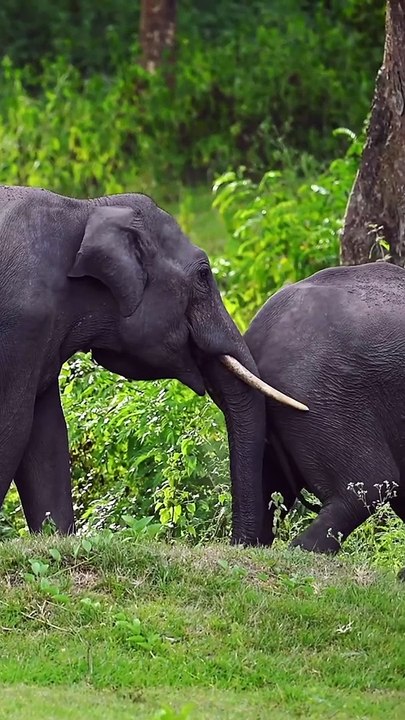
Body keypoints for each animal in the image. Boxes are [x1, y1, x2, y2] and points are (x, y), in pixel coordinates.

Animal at [0, 185, 304, 542]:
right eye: (204, 274)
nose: (238, 543)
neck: (84, 209)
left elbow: (46, 437)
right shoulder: (20, 323)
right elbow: (14, 426)